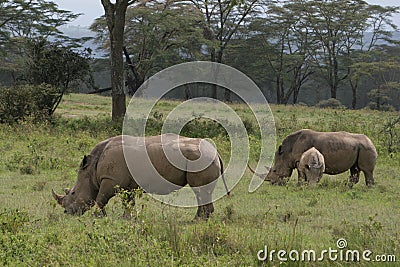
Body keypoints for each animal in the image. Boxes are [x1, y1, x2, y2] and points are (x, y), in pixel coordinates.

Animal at [52, 134, 228, 220]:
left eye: (73, 193)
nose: (67, 213)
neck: (91, 170)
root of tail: (215, 152)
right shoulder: (126, 184)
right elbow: (128, 202)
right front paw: (126, 218)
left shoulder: (110, 180)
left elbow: (101, 199)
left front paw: (98, 217)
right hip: (203, 159)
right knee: (202, 192)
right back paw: (200, 219)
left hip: (201, 159)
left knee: (199, 190)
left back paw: (198, 220)